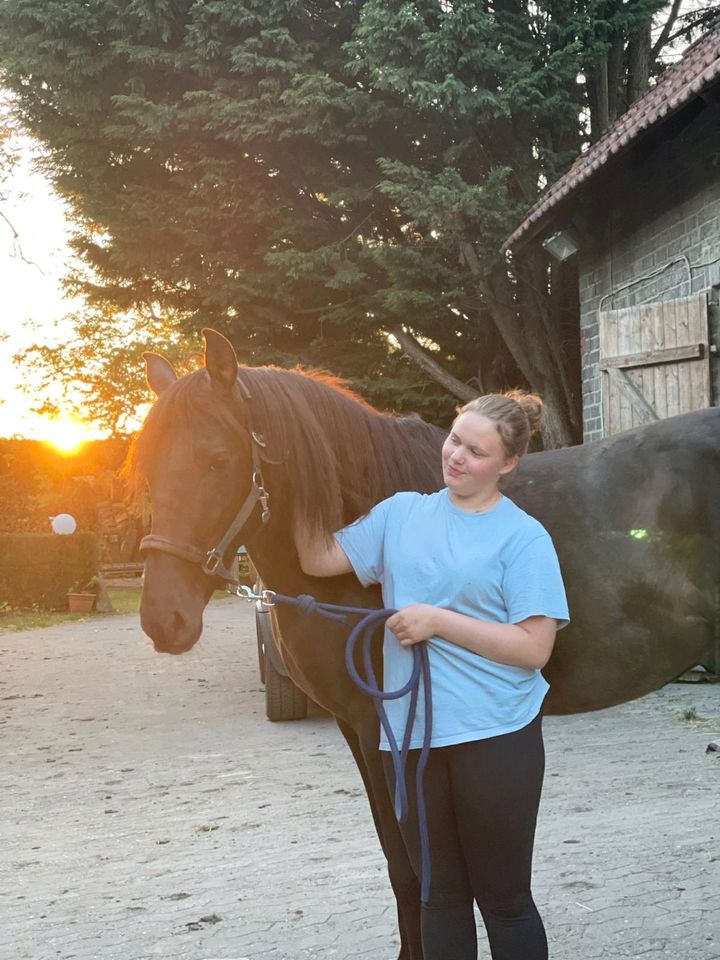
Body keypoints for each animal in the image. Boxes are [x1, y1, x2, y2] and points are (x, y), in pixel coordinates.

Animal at [135, 332, 720, 960]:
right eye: (146, 463)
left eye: (218, 460)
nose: (163, 620)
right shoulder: (358, 730)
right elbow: (399, 866)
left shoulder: (382, 729)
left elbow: (414, 869)